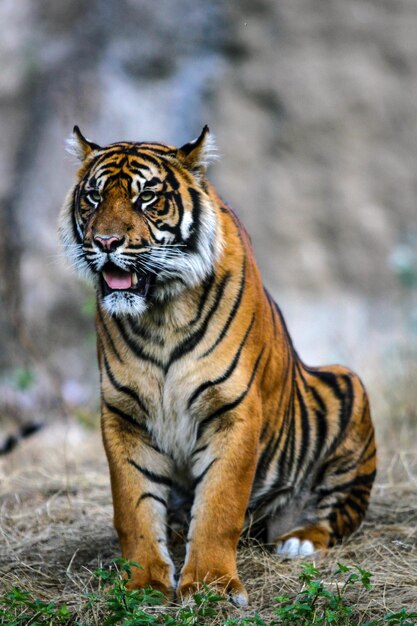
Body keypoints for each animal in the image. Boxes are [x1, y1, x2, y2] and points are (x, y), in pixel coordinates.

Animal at [60, 124, 376, 604]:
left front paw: (211, 586)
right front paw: (145, 584)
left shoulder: (233, 410)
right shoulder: (122, 414)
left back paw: (298, 541)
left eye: (146, 197)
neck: (159, 313)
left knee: (337, 515)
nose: (106, 243)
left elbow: (218, 507)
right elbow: (133, 509)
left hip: (349, 389)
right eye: (93, 198)